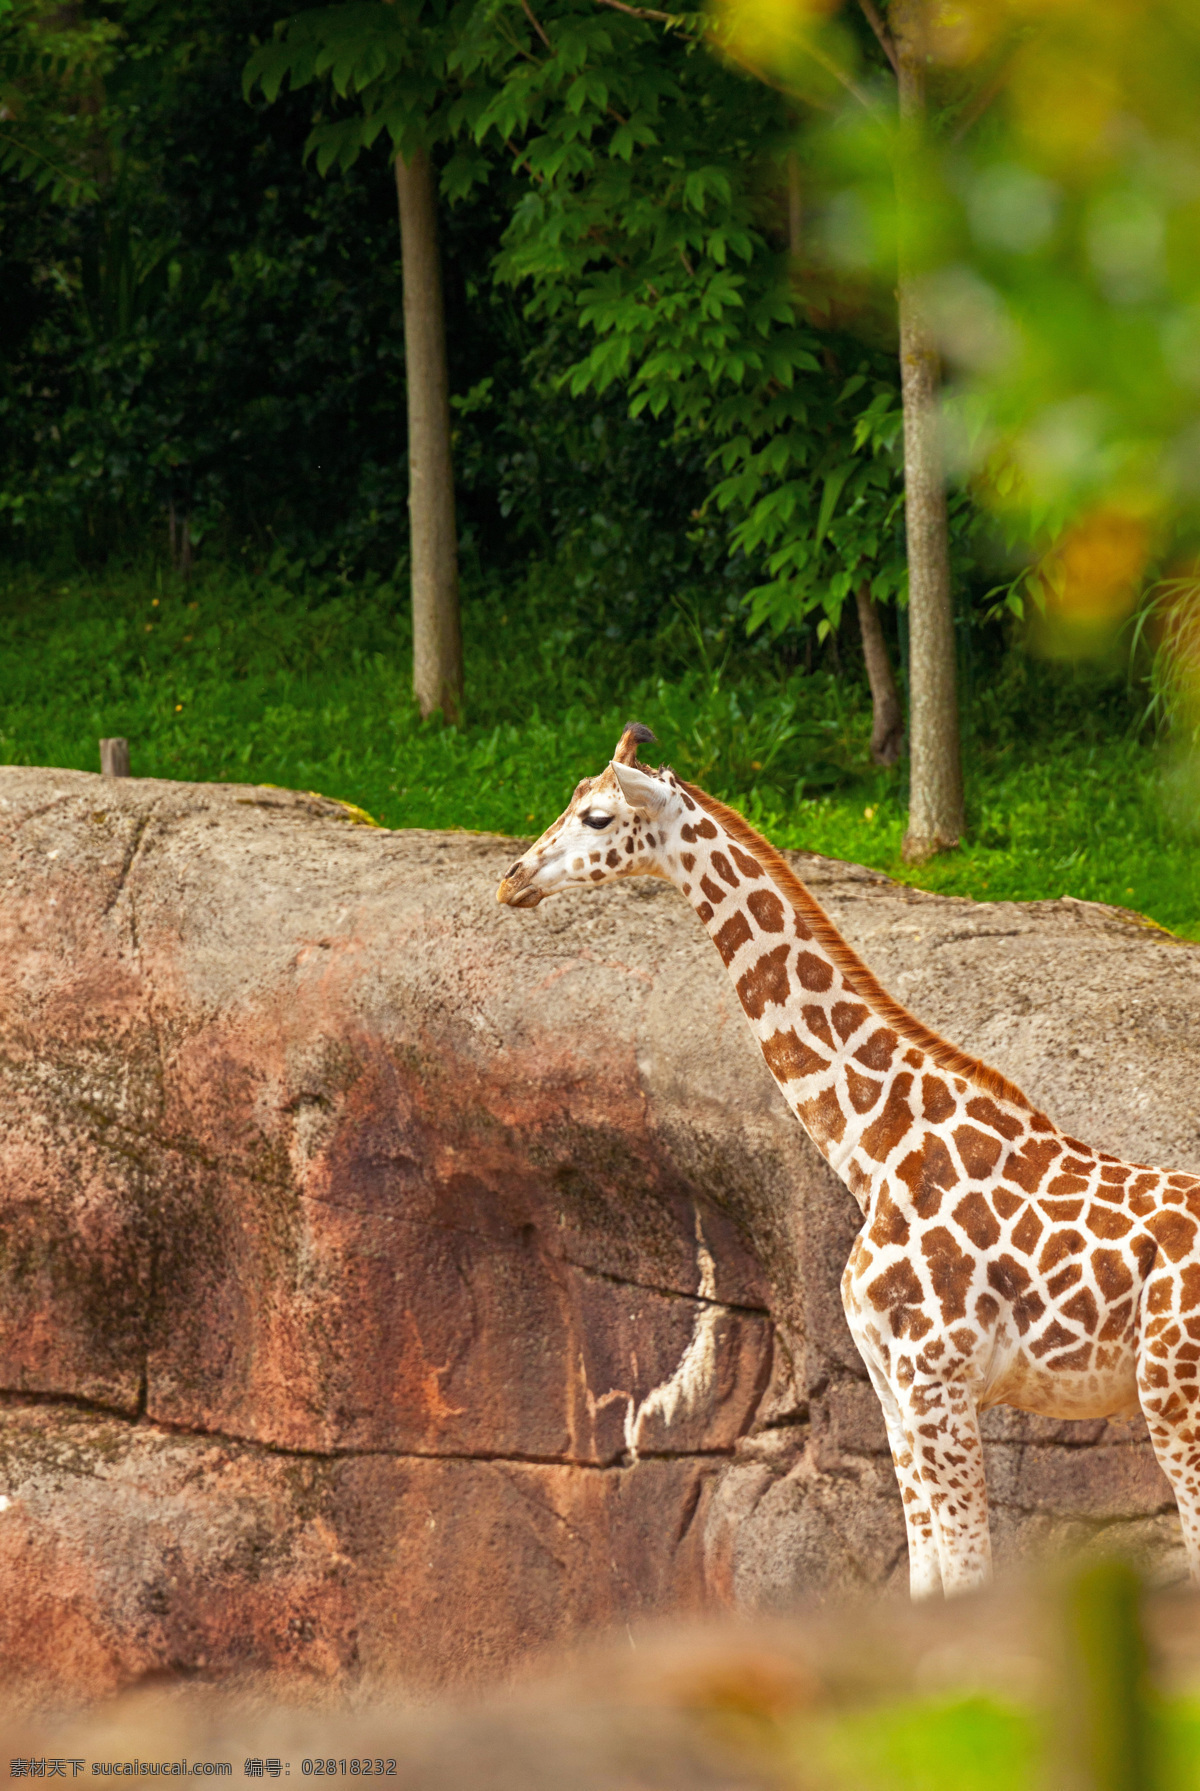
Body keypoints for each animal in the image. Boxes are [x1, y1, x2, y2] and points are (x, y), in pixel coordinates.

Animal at [494, 723, 1200, 1597]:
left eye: (596, 815)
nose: (512, 879)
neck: (876, 1148)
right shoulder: (895, 1392)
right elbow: (925, 1578)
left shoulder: (937, 1381)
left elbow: (966, 1574)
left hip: (1174, 1396)